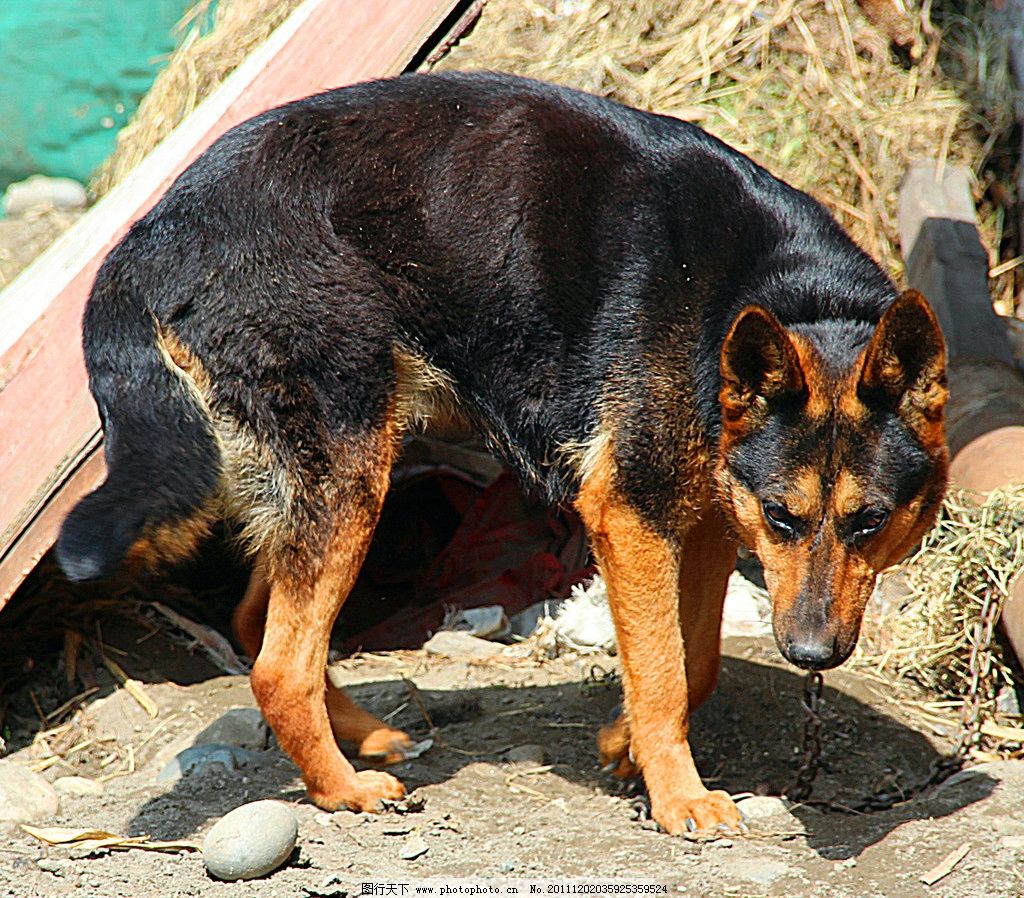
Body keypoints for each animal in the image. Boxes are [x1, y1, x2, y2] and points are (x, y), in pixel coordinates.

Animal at [56, 70, 950, 835]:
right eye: (785, 517)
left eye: (870, 523)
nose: (811, 655)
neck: (786, 299)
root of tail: (143, 241)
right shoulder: (633, 517)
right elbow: (665, 671)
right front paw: (679, 796)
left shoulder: (697, 522)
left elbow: (693, 663)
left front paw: (629, 747)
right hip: (352, 474)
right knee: (278, 665)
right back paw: (342, 789)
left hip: (330, 478)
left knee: (255, 624)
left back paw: (362, 736)